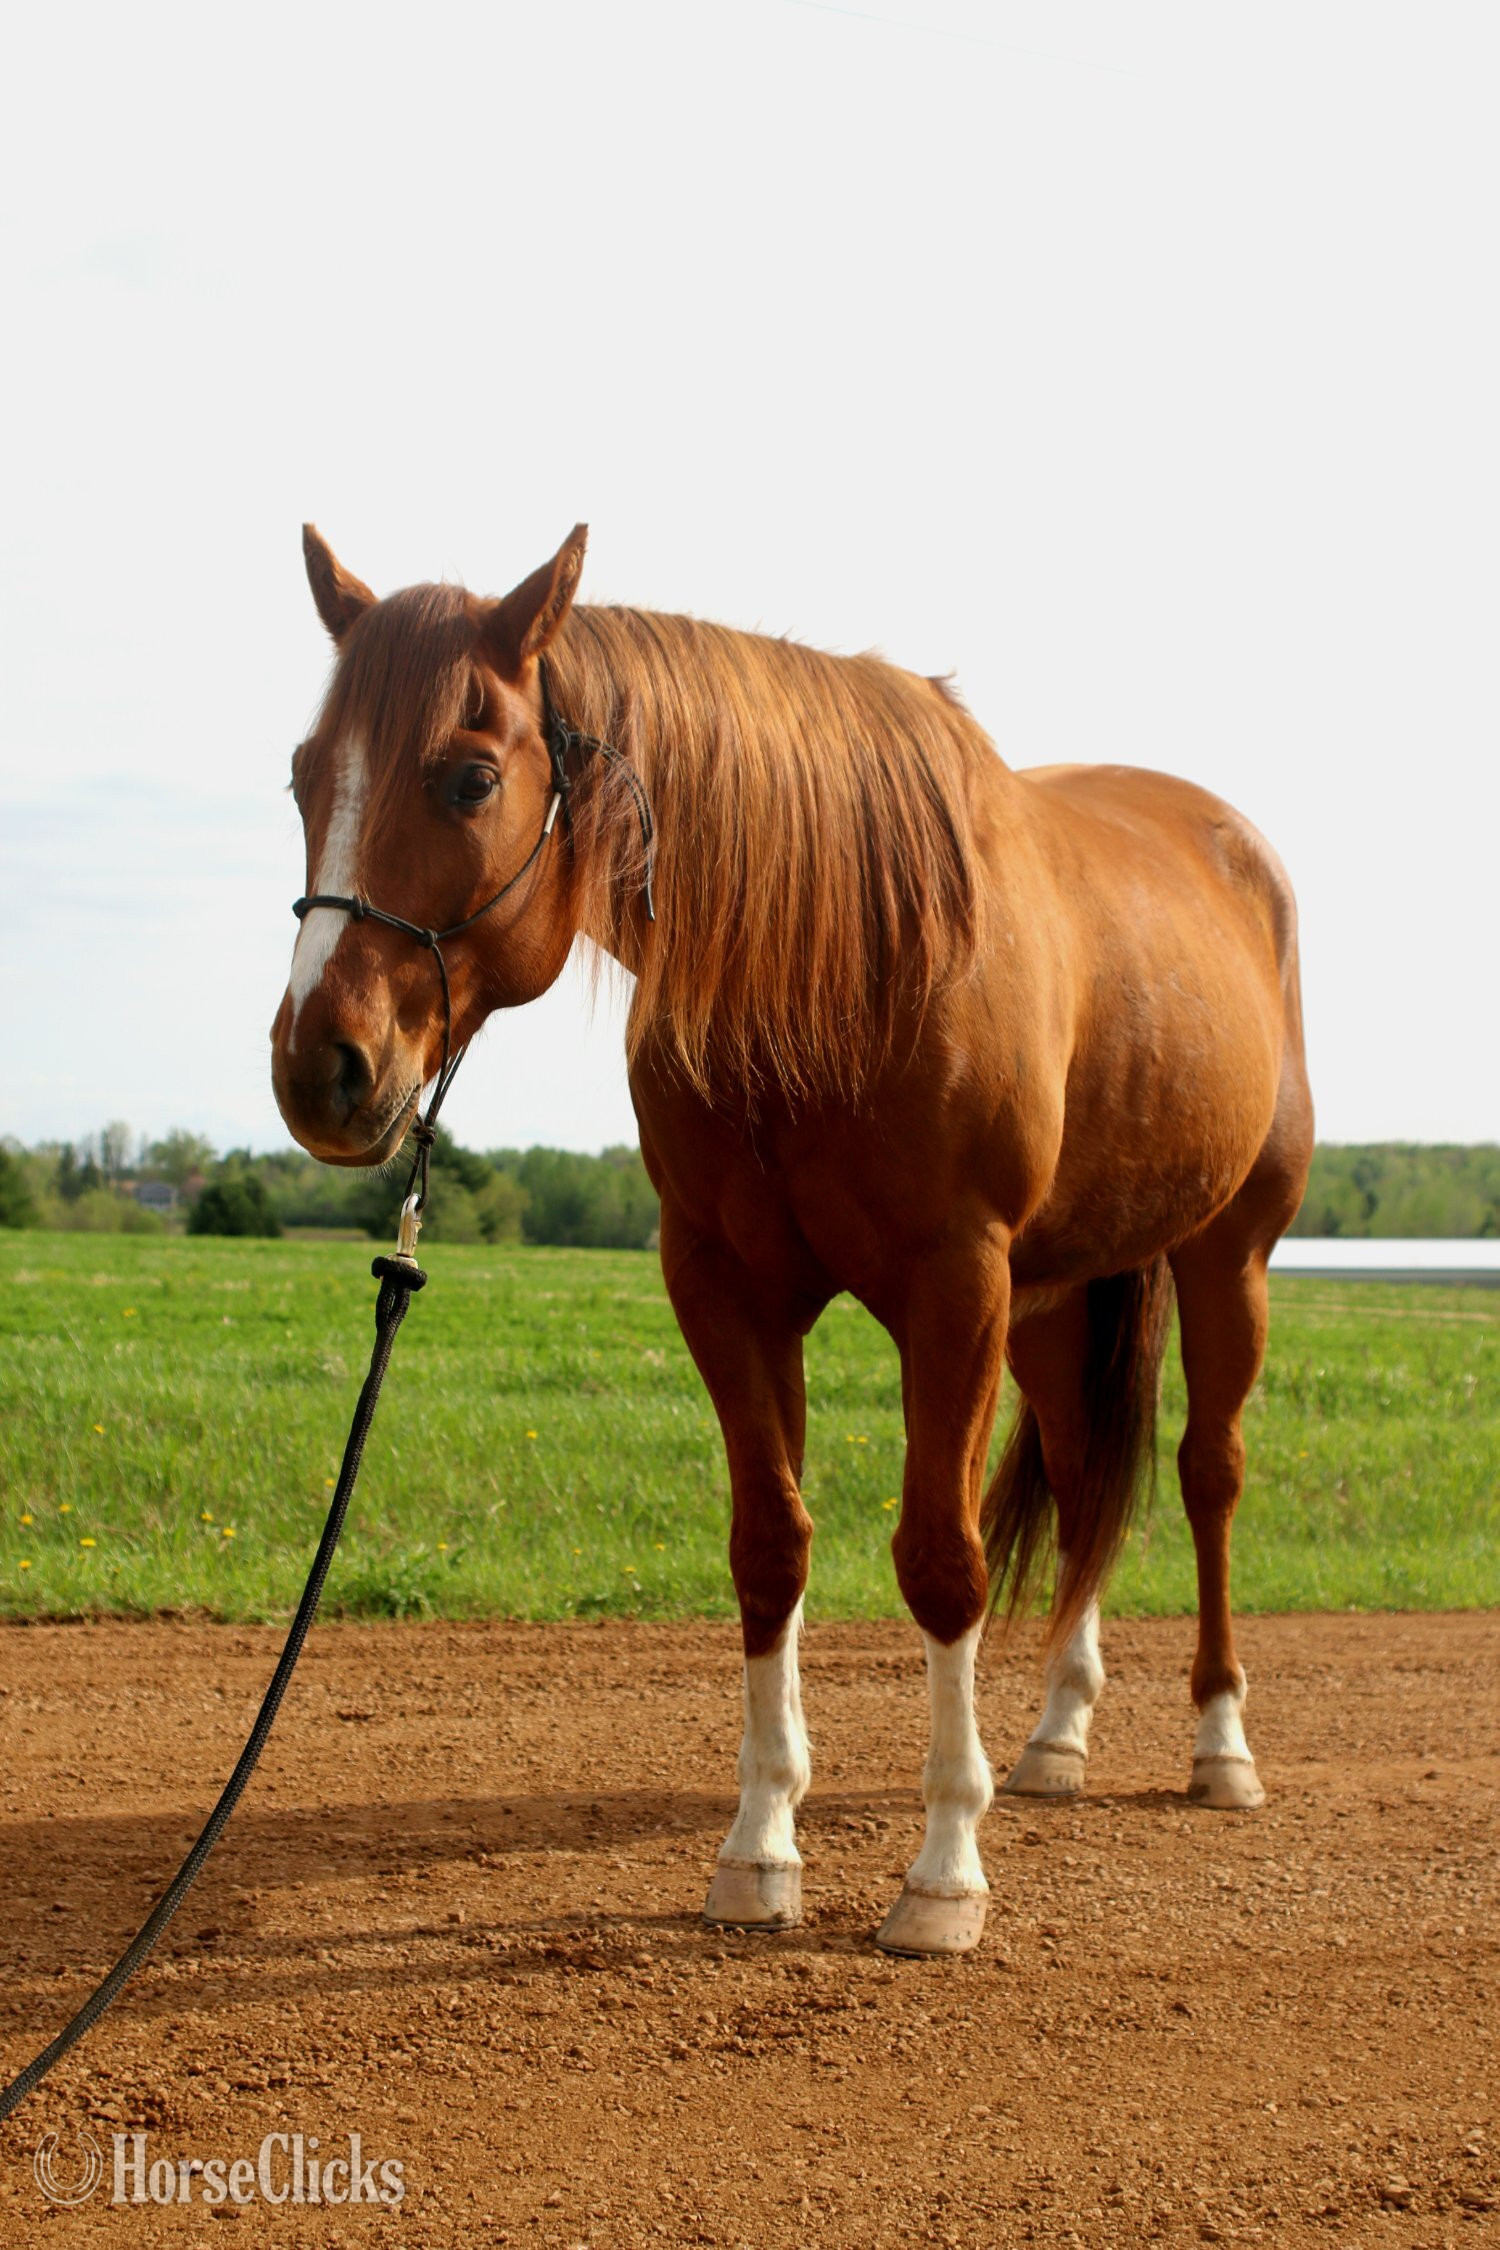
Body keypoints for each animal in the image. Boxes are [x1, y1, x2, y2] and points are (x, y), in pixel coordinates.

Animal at [271, 524, 1313, 1957]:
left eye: (469, 776)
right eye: (304, 774)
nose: (318, 1067)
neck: (833, 962)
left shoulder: (954, 1284)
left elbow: (942, 1560)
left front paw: (944, 1873)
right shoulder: (728, 1286)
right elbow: (770, 1548)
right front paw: (760, 1850)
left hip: (1226, 1259)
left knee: (1209, 1476)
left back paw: (1220, 1746)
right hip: (1056, 1298)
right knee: (1085, 1469)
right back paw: (1055, 1737)